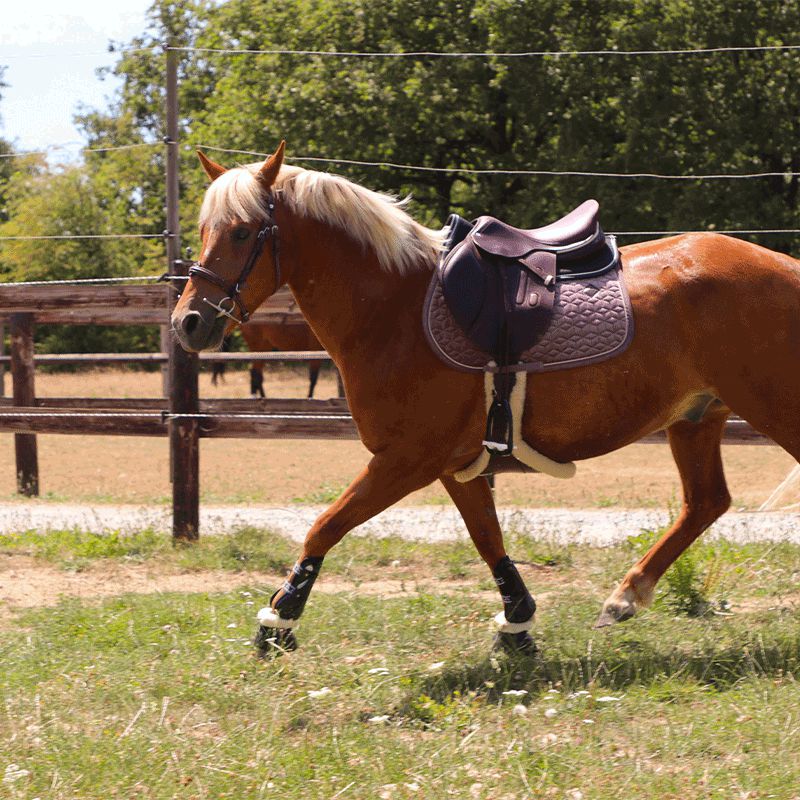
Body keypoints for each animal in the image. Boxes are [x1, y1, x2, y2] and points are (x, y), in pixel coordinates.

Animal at [173, 142, 800, 656]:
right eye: (204, 230)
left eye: (243, 232)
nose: (189, 322)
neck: (397, 309)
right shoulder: (457, 464)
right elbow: (488, 538)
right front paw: (517, 623)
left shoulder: (406, 461)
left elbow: (324, 526)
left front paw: (279, 619)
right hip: (696, 418)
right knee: (705, 503)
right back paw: (626, 594)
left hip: (771, 409)